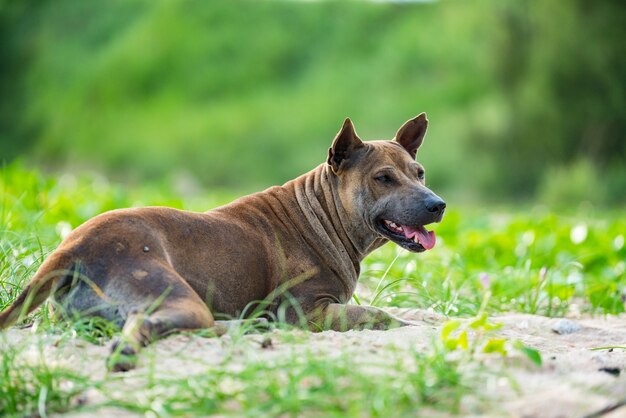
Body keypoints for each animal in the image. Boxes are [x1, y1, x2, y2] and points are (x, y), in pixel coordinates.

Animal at [0, 112, 444, 370]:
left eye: (419, 172)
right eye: (383, 177)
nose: (437, 205)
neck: (323, 211)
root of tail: (71, 247)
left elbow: (404, 310)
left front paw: (432, 319)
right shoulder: (307, 313)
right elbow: (381, 314)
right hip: (174, 293)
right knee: (146, 324)